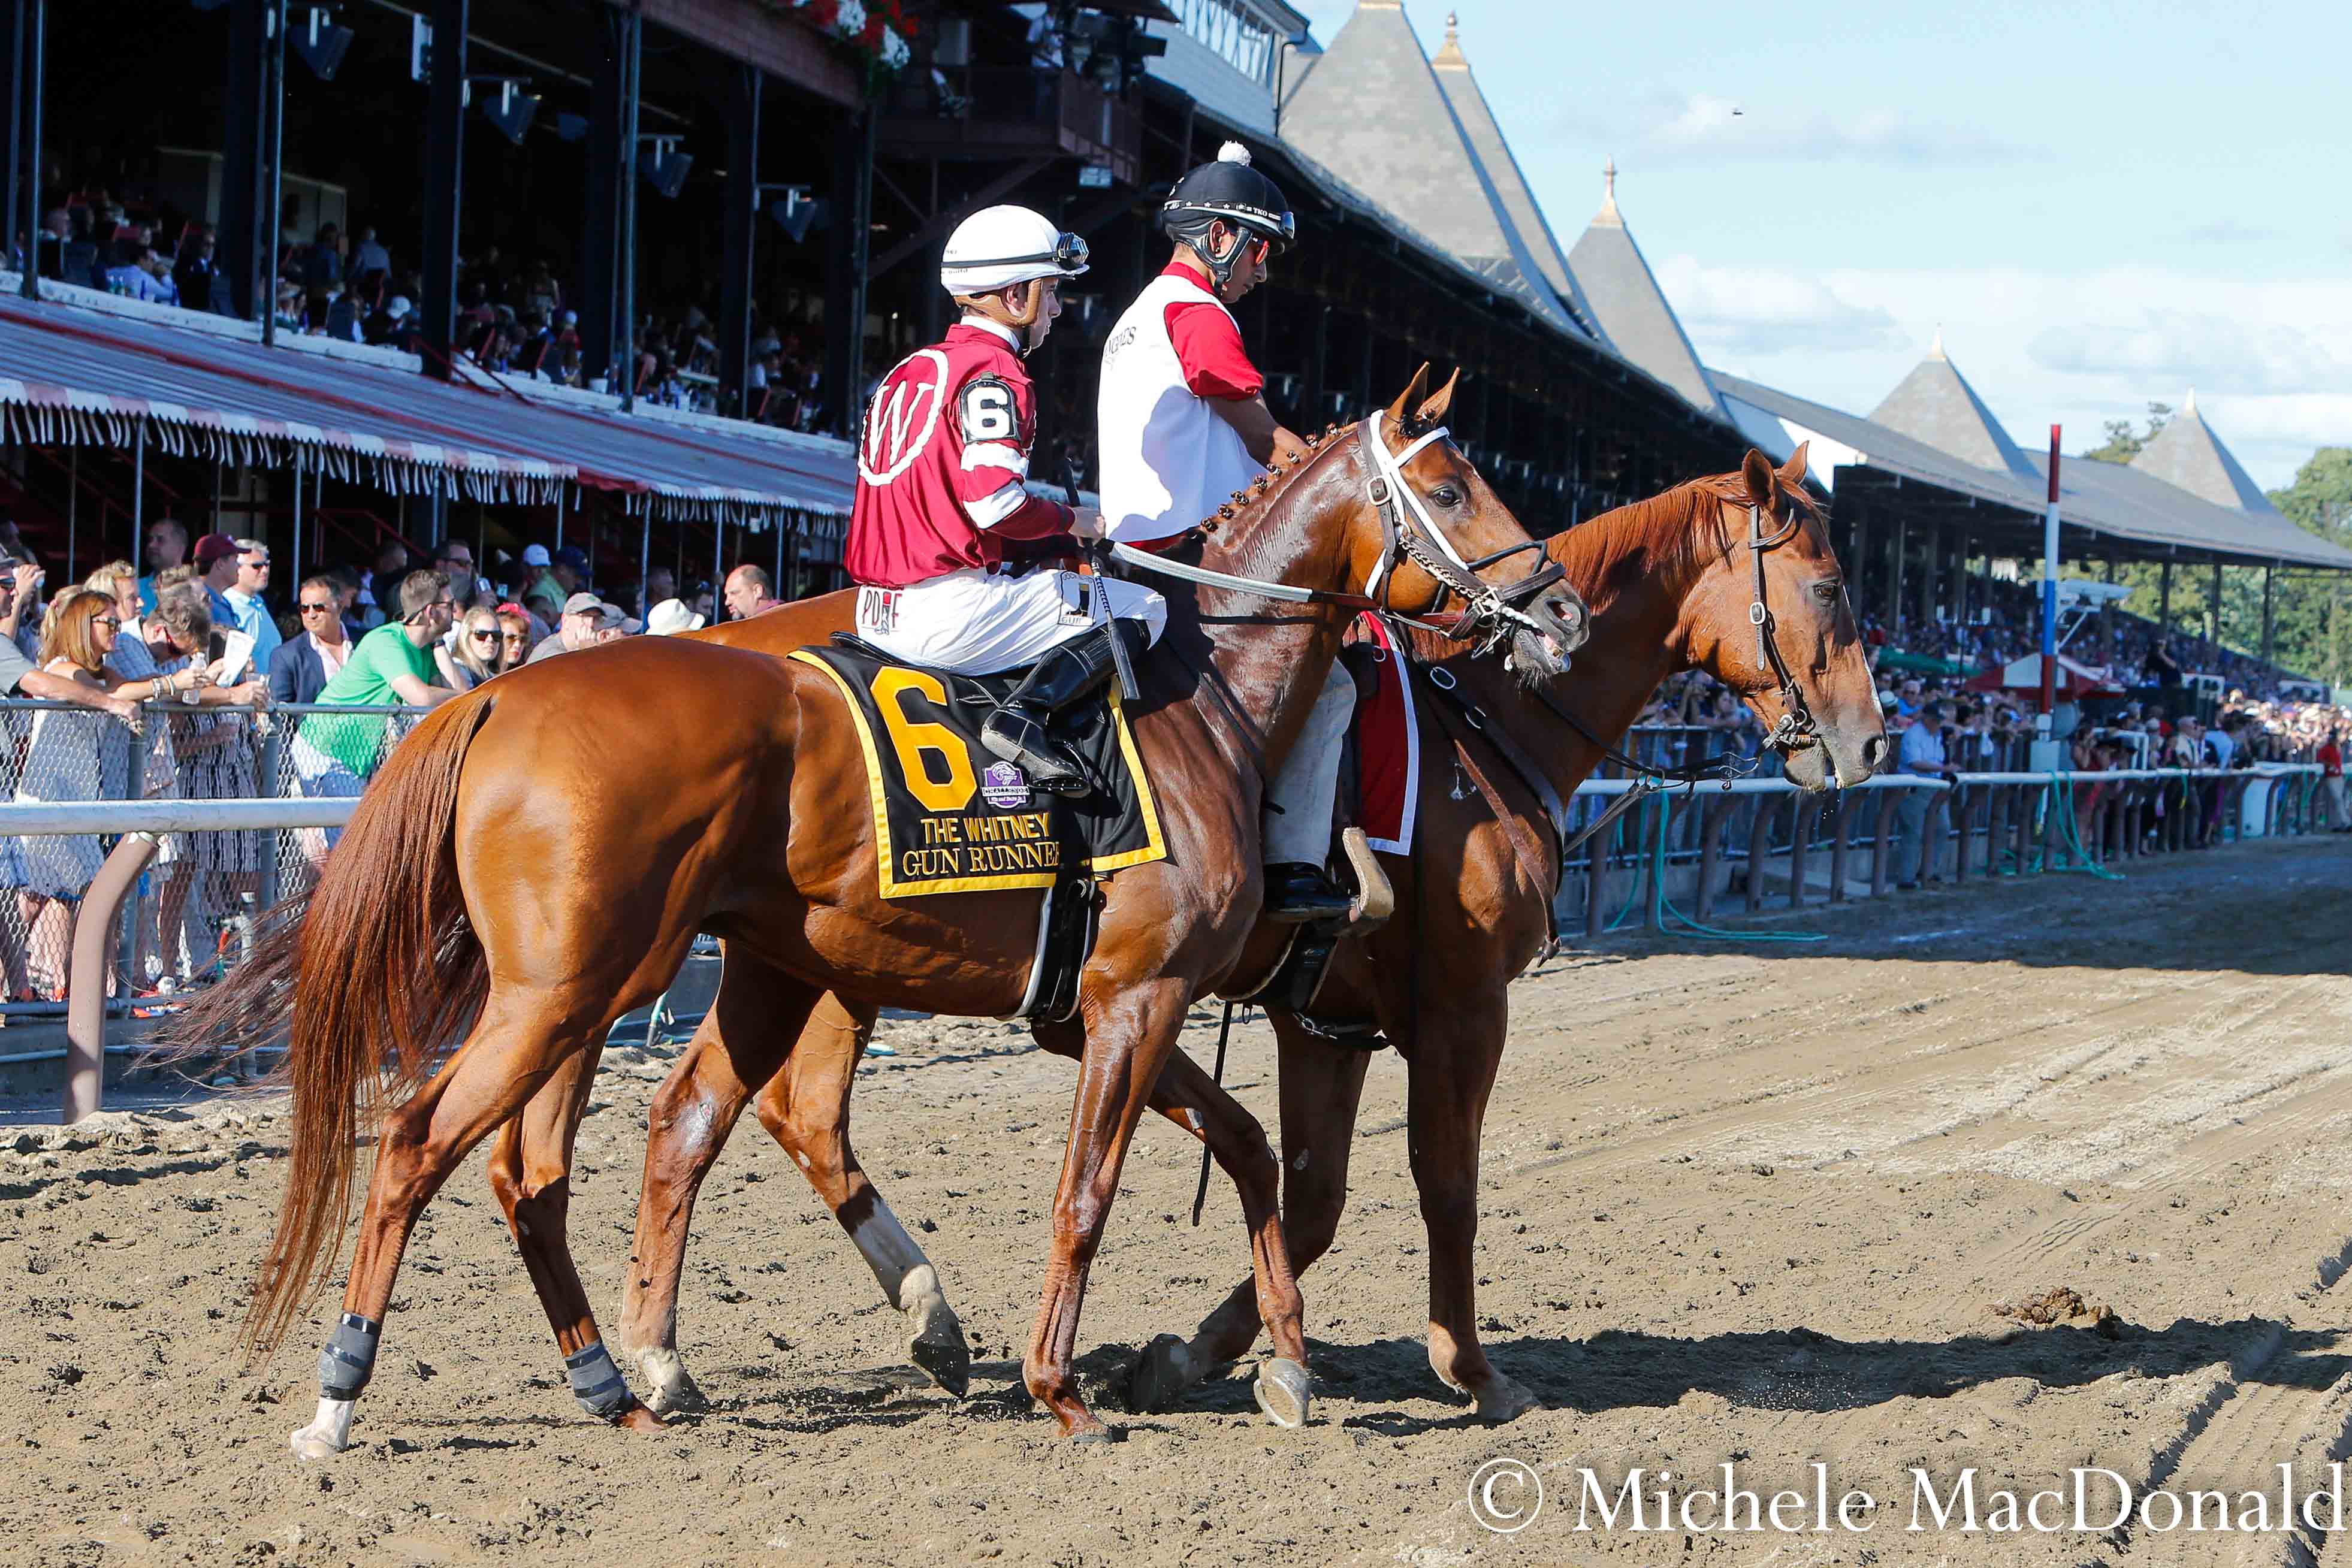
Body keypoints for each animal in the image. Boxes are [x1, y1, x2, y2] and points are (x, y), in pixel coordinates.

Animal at [165, 364, 1580, 1448]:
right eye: (1450, 487)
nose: (1556, 607)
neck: (1208, 688)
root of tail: (504, 690)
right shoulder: (1164, 999)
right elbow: (1103, 1190)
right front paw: (1066, 1388)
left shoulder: (1130, 1005)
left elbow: (1251, 1155)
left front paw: (1278, 1359)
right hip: (575, 987)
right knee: (426, 1146)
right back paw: (343, 1396)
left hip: (682, 975)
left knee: (588, 1151)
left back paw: (620, 1376)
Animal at [611, 444, 1891, 1419]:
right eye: (1831, 588)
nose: (1872, 741)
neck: (1484, 724)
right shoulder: (1459, 1004)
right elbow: (1442, 1181)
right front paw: (1469, 1367)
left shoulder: (1324, 1019)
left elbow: (1309, 1190)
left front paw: (1196, 1353)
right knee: (791, 1107)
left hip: (821, 956)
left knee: (763, 1111)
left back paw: (887, 1325)